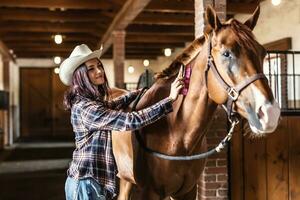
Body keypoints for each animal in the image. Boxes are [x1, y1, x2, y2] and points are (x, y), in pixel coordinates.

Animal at [112, 5, 278, 199]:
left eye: (263, 52)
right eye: (226, 53)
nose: (270, 113)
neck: (175, 129)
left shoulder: (188, 191)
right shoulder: (151, 193)